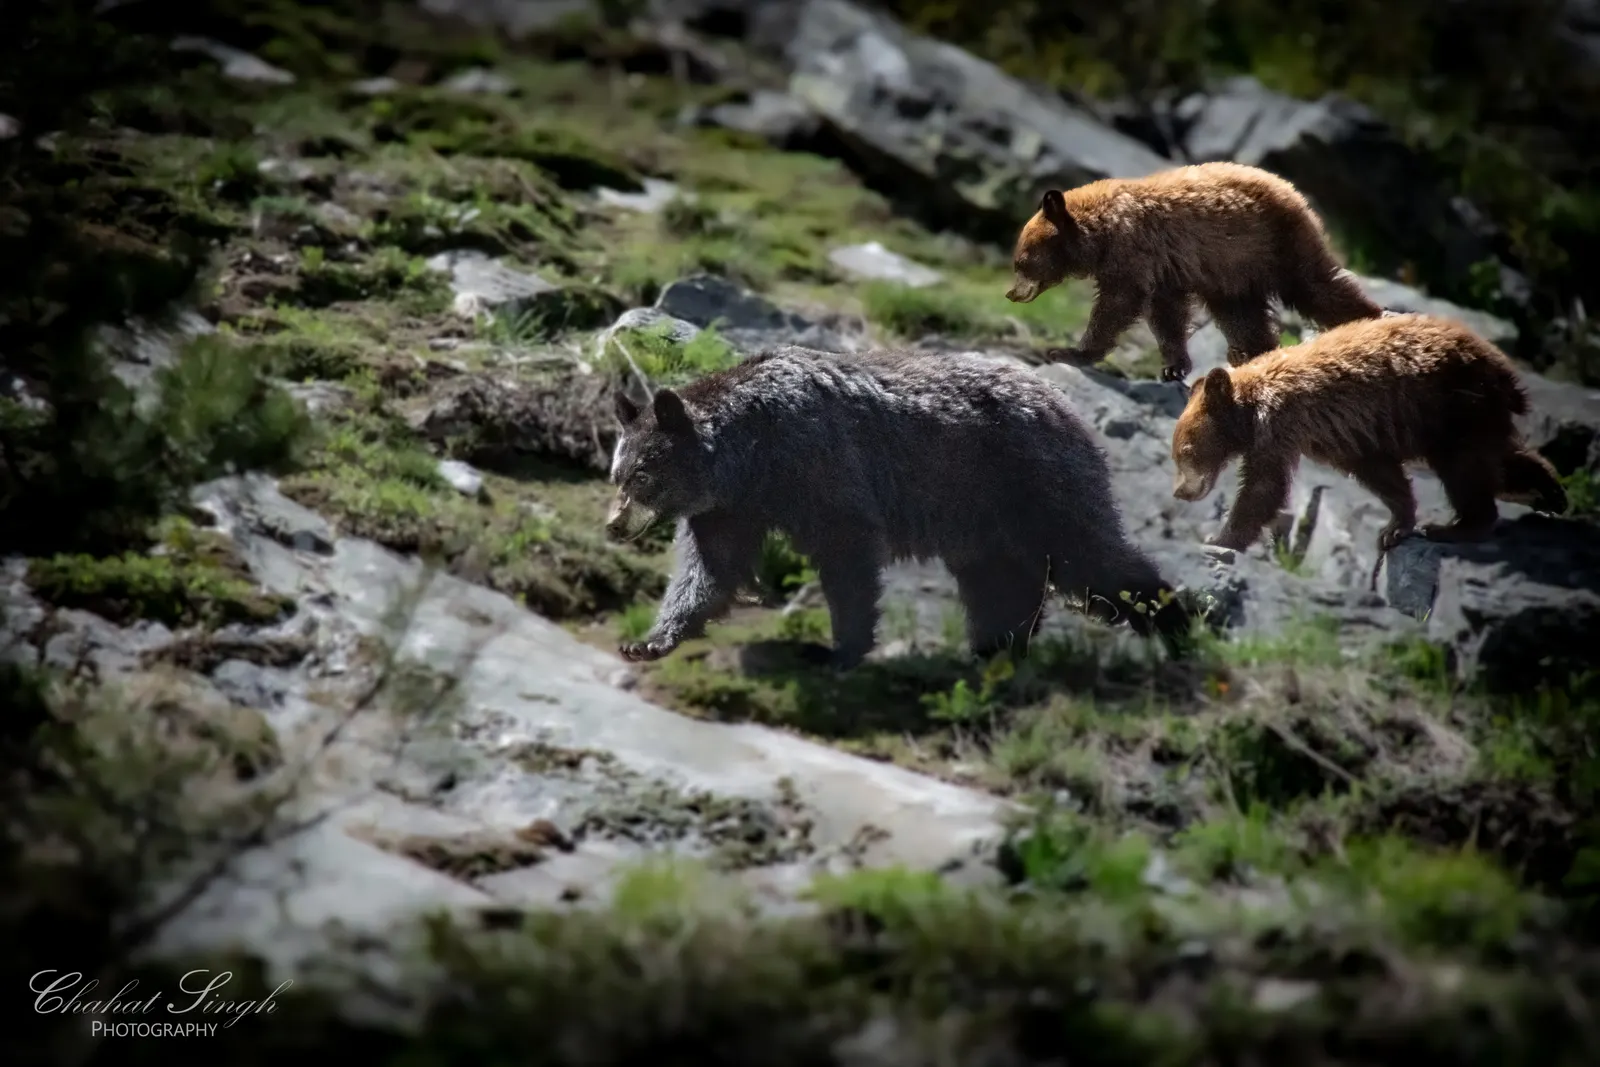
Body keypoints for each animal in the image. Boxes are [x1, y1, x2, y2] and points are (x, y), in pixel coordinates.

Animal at [602, 345, 1191, 669]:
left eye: (642, 476)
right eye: (617, 474)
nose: (613, 524)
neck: (750, 456)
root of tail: (1064, 403)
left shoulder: (818, 463)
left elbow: (848, 553)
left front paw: (839, 649)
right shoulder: (728, 509)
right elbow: (710, 569)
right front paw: (651, 639)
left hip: (1032, 482)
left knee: (1087, 556)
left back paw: (1175, 625)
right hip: (983, 517)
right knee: (1000, 581)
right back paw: (995, 647)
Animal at [1003, 161, 1386, 383]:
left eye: (1021, 262)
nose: (1011, 293)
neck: (1100, 232)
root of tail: (1289, 187)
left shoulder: (1133, 252)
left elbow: (1118, 303)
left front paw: (1069, 352)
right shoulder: (1165, 267)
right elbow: (1166, 313)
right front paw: (1175, 365)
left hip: (1278, 241)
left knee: (1315, 286)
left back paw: (1370, 321)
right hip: (1235, 270)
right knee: (1242, 314)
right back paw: (1249, 355)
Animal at [1168, 313, 1568, 557]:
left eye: (1185, 451)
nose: (1179, 492)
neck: (1251, 409)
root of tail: (1502, 366)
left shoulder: (1282, 430)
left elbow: (1263, 489)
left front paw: (1219, 539)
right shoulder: (1346, 435)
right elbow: (1380, 474)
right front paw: (1394, 526)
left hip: (1453, 404)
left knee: (1464, 468)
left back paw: (1453, 527)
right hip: (1470, 412)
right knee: (1495, 460)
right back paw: (1549, 492)